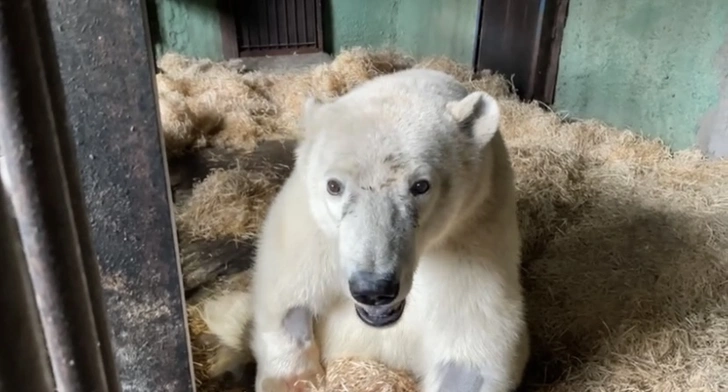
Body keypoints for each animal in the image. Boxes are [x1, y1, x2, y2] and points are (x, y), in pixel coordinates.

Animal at [216, 69, 528, 390]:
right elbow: (286, 297)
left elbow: (471, 354)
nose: (374, 289)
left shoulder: (474, 235)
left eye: (421, 186)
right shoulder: (310, 227)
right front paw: (296, 378)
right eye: (334, 185)